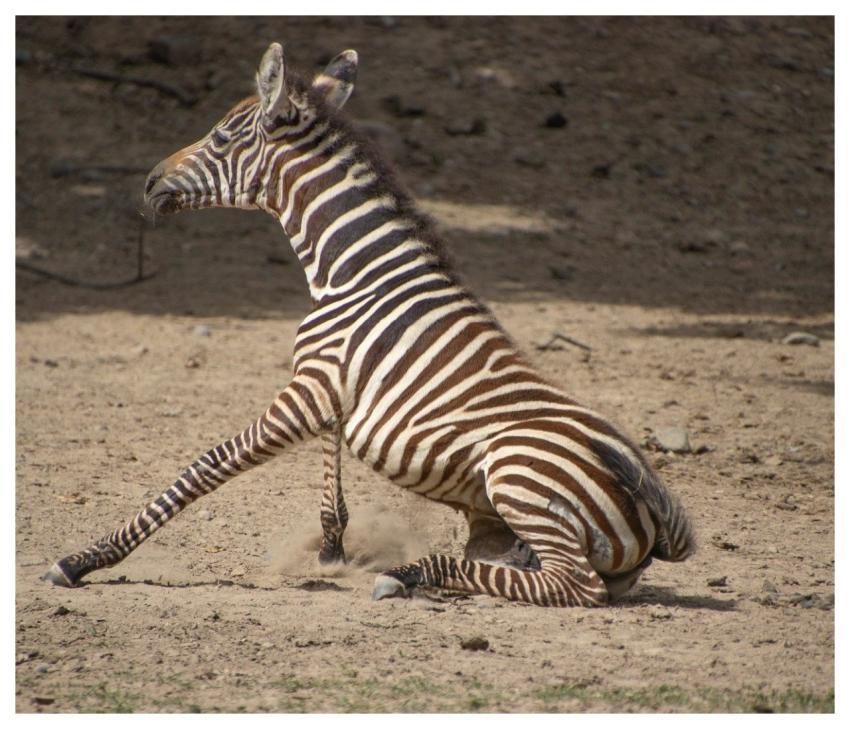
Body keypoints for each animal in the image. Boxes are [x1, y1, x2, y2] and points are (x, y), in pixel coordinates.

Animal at [45, 42, 695, 607]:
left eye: (223, 136)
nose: (150, 182)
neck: (354, 273)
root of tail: (659, 509)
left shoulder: (308, 390)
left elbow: (204, 467)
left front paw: (86, 558)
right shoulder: (329, 389)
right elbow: (331, 469)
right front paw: (332, 546)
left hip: (517, 471)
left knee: (574, 588)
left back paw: (408, 575)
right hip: (502, 515)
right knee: (518, 567)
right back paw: (421, 573)